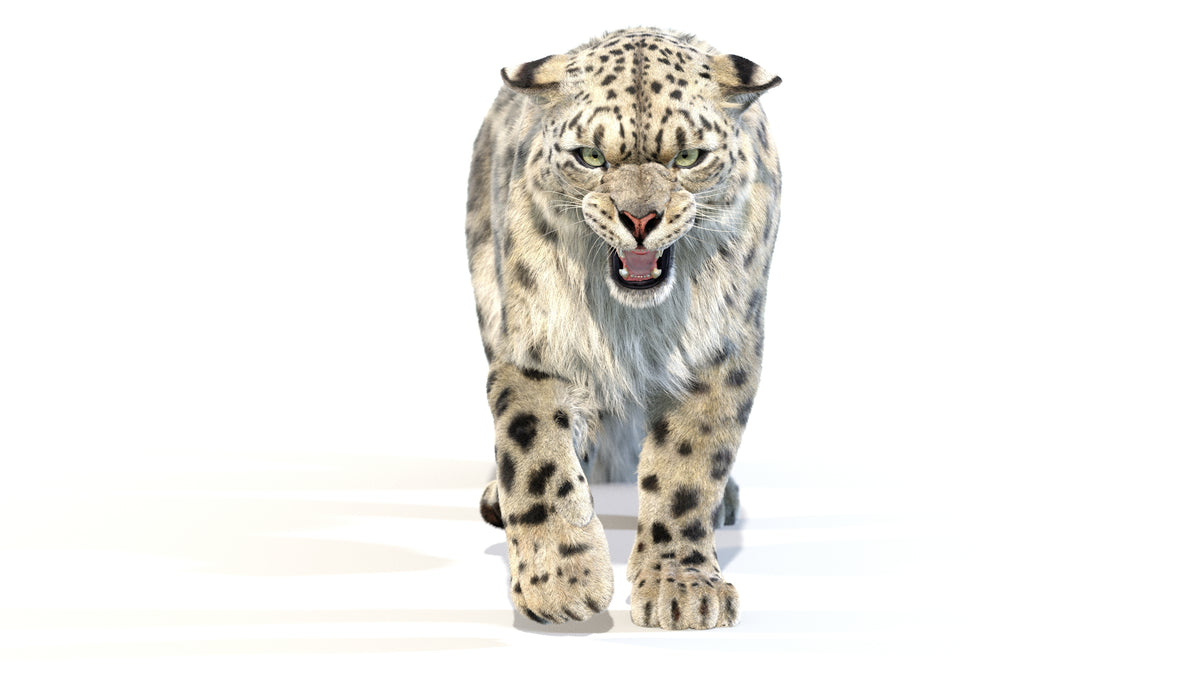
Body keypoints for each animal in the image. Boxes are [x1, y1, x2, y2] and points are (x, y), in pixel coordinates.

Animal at [465, 27, 782, 630]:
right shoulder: (536, 348)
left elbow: (687, 468)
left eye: (688, 156)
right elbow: (537, 456)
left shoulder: (718, 352)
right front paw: (561, 584)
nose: (639, 219)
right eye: (590, 157)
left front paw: (682, 589)